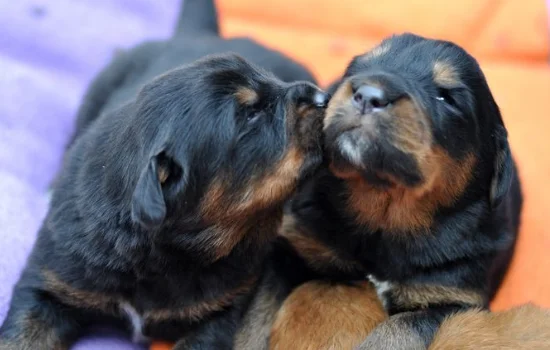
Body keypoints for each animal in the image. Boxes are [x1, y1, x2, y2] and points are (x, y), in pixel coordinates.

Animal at [258, 32, 528, 348]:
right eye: (358, 68)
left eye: (446, 97)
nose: (368, 94)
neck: (384, 219)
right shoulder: (290, 247)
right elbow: (255, 319)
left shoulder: (454, 300)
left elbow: (398, 329)